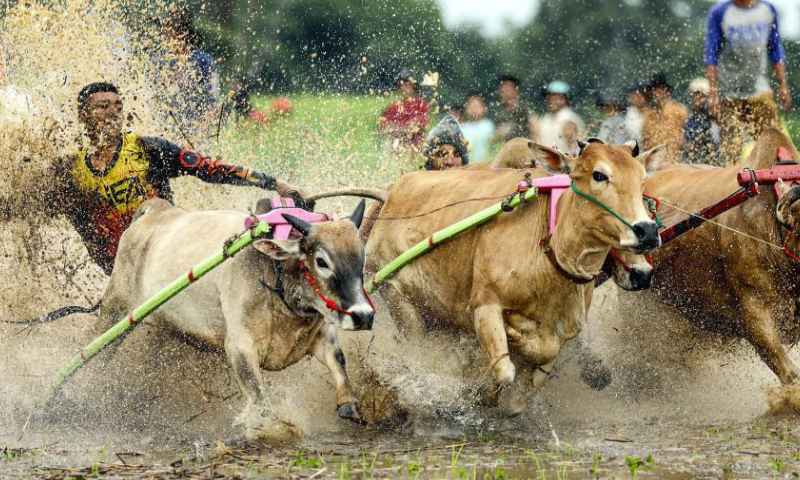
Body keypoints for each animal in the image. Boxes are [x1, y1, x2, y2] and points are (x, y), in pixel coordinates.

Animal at [95, 197, 373, 441]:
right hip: (114, 309)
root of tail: (155, 210)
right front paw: (274, 429)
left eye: (362, 258)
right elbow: (260, 399)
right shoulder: (240, 346)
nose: (364, 315)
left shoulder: (321, 334)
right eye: (322, 261)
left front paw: (348, 405)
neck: (276, 274)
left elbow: (338, 360)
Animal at [365, 141, 664, 414]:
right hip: (399, 301)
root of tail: (391, 192)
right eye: (599, 175)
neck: (548, 253)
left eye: (642, 181)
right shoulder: (484, 308)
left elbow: (522, 394)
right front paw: (482, 390)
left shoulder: (564, 334)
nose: (648, 232)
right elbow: (504, 371)